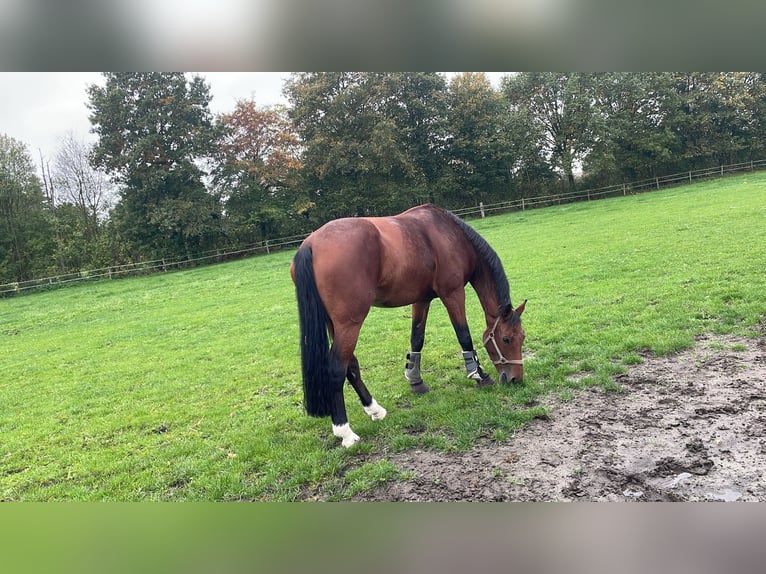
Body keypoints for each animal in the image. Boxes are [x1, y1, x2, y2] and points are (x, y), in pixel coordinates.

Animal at [290, 204, 526, 447]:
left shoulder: (421, 299)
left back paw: (374, 409)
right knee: (337, 368)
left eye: (522, 337)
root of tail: (310, 244)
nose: (515, 379)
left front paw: (415, 381)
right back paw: (344, 431)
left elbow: (417, 338)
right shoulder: (452, 294)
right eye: (506, 339)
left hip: (334, 323)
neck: (452, 235)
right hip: (350, 323)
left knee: (351, 364)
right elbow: (464, 335)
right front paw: (479, 375)